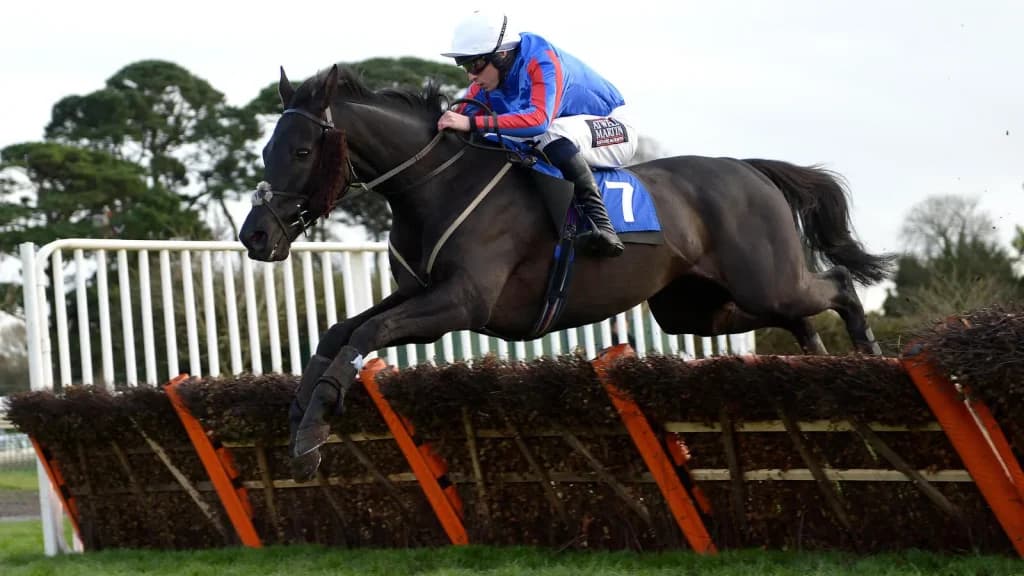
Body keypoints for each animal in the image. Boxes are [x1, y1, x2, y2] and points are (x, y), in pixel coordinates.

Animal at [239, 64, 894, 481]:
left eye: (302, 151)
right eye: (267, 150)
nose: (255, 236)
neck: (436, 184)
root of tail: (750, 168)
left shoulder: (461, 302)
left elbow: (367, 335)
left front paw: (312, 434)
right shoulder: (421, 293)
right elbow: (339, 332)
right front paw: (299, 421)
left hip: (765, 279)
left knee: (838, 289)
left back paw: (868, 358)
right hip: (694, 306)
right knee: (798, 319)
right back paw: (814, 368)